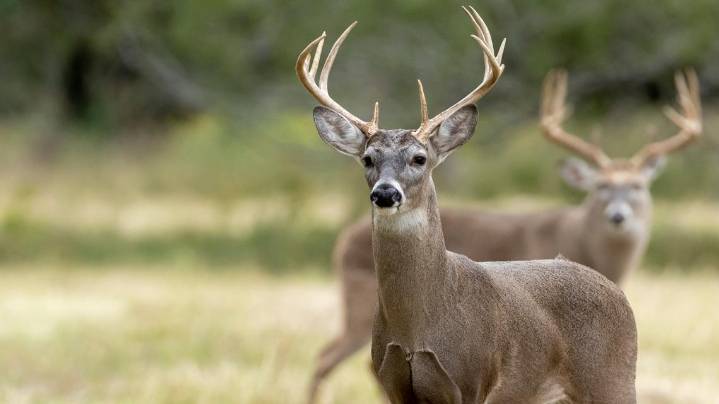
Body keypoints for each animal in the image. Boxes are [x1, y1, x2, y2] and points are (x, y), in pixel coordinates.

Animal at [298, 6, 638, 403]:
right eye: (368, 159)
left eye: (419, 158)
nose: (385, 193)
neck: (418, 326)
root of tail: (616, 290)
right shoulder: (394, 382)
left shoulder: (473, 378)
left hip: (613, 378)